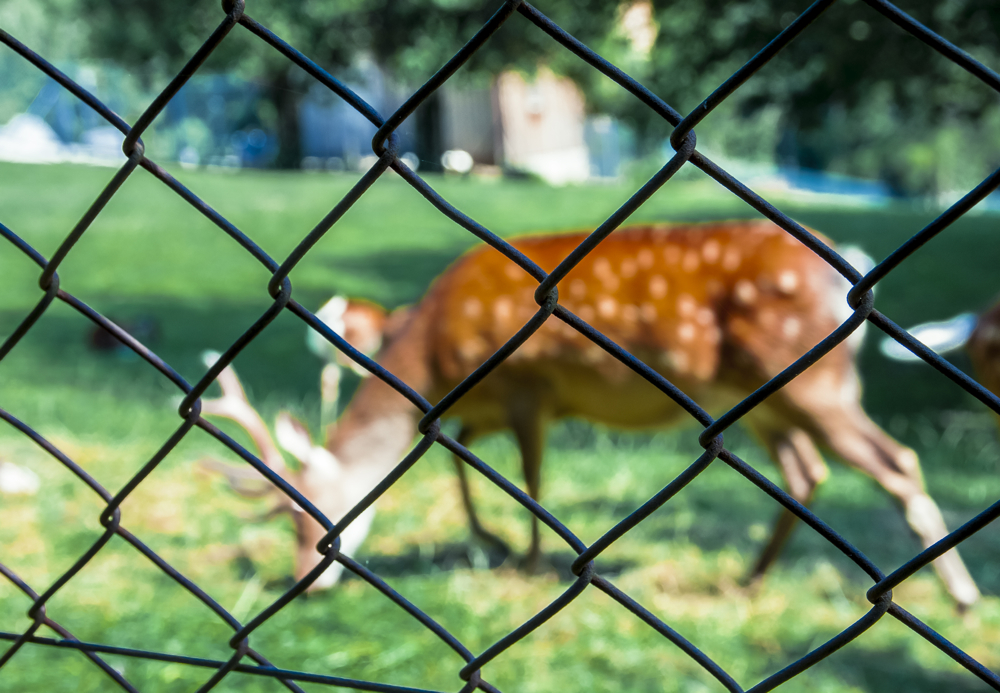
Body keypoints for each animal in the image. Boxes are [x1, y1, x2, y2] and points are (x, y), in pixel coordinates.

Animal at [213, 222, 984, 604]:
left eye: (309, 518)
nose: (306, 584)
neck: (433, 352)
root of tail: (846, 269)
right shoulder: (489, 405)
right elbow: (462, 460)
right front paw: (493, 544)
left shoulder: (527, 384)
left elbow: (528, 480)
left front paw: (527, 561)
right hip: (767, 398)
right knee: (808, 472)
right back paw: (749, 579)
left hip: (815, 381)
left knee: (895, 460)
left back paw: (963, 596)